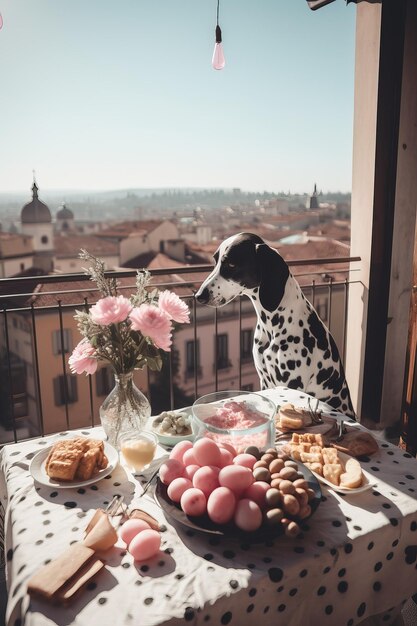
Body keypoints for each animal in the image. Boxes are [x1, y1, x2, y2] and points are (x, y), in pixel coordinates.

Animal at [195, 232, 354, 416]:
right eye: (215, 261)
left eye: (231, 264)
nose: (198, 295)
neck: (273, 325)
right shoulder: (264, 381)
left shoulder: (291, 384)